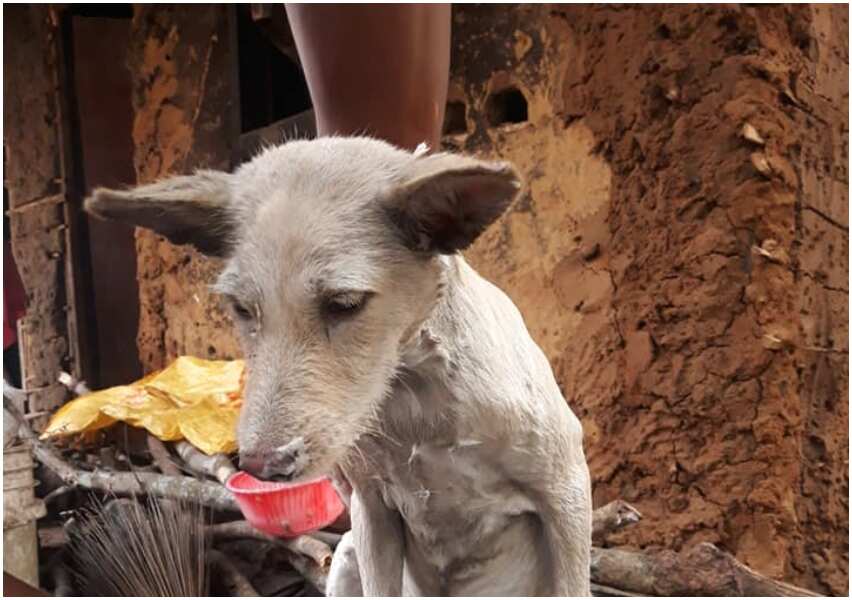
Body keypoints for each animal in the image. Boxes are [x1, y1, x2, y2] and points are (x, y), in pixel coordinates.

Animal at [88, 137, 592, 600]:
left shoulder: (567, 492)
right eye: (241, 309)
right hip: (347, 551)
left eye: (344, 303)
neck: (415, 398)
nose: (261, 466)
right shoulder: (372, 513)